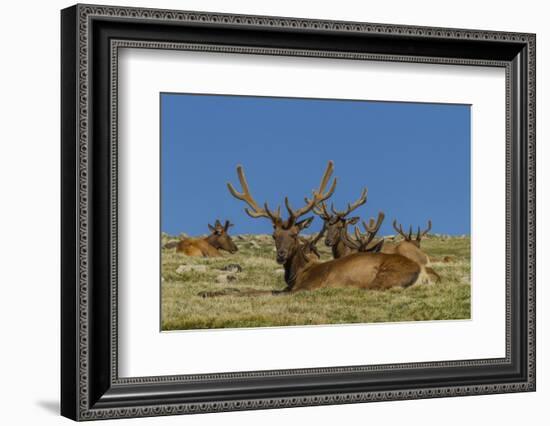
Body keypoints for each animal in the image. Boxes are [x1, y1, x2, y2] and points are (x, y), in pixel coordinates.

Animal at [217, 161, 422, 294]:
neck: (296, 275)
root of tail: (421, 271)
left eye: (294, 234)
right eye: (274, 235)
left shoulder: (306, 288)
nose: (281, 254)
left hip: (384, 276)